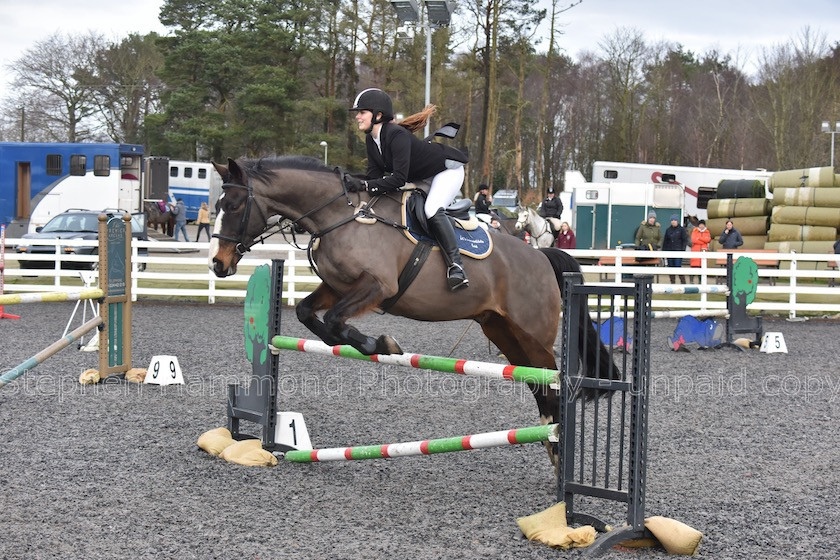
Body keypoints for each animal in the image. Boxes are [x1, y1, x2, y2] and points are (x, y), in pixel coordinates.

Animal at [208, 156, 616, 464]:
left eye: (235, 206)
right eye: (218, 206)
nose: (217, 264)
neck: (338, 215)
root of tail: (542, 256)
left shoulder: (376, 286)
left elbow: (337, 319)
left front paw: (378, 344)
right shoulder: (337, 287)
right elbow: (309, 314)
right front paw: (366, 344)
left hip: (534, 335)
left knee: (553, 381)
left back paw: (559, 450)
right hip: (502, 330)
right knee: (538, 384)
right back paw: (549, 439)